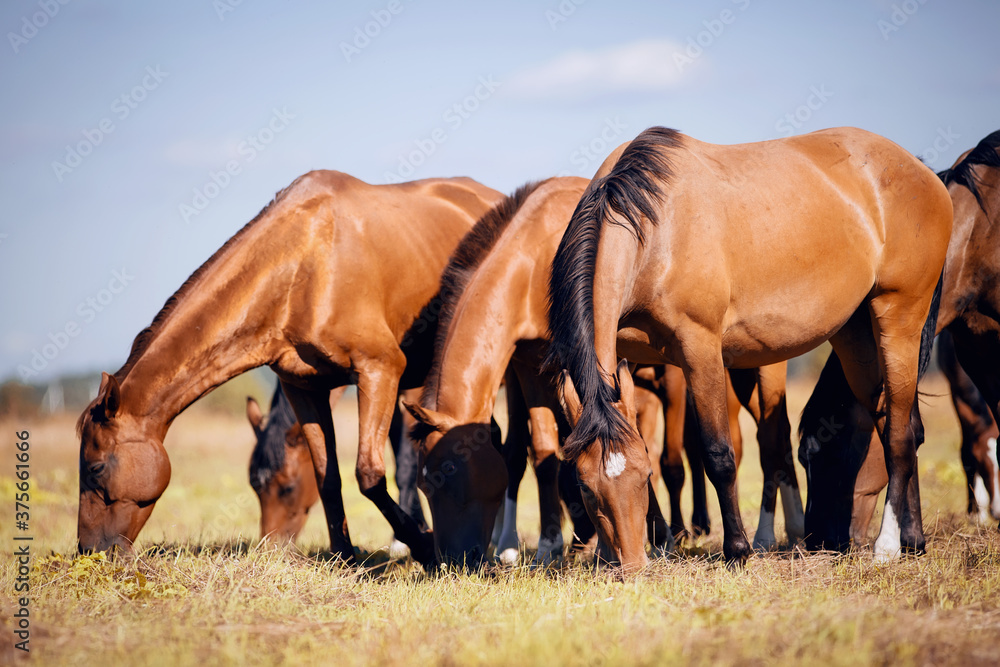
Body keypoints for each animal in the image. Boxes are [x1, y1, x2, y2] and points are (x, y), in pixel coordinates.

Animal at [76, 171, 502, 564]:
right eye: (256, 486)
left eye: (95, 468)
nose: (88, 550)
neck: (304, 266)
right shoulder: (306, 388)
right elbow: (328, 476)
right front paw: (345, 556)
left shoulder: (383, 373)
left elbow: (373, 473)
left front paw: (423, 545)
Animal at [546, 126, 951, 571]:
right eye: (585, 486)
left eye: (643, 475)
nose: (632, 565)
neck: (656, 232)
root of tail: (923, 173)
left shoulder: (699, 350)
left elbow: (718, 454)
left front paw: (737, 549)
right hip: (856, 337)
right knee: (892, 421)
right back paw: (914, 540)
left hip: (899, 320)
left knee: (898, 433)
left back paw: (888, 546)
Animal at [799, 130, 1000, 547]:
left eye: (828, 451)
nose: (817, 540)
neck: (981, 232)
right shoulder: (976, 347)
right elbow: (914, 428)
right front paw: (913, 539)